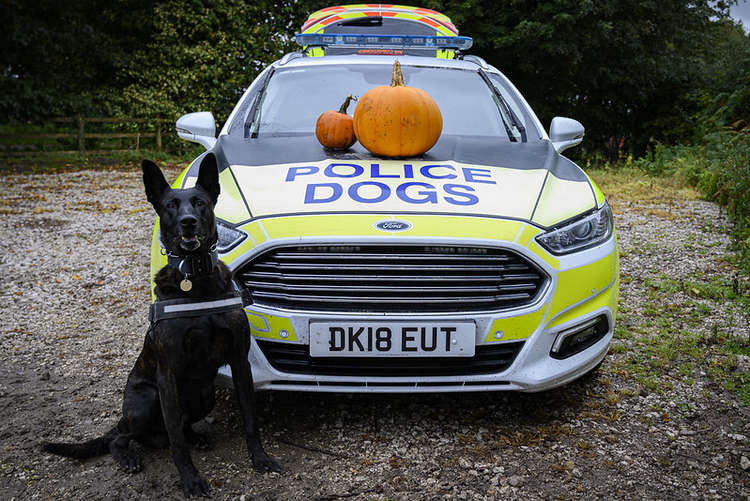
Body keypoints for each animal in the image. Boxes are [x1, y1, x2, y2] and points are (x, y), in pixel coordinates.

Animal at [44, 155, 284, 496]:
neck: (196, 279)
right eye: (170, 205)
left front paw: (260, 459)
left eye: (199, 203)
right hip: (146, 400)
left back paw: (196, 437)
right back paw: (127, 457)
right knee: (125, 438)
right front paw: (191, 480)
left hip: (205, 394)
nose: (188, 221)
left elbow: (250, 419)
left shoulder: (239, 361)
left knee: (177, 428)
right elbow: (176, 444)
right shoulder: (167, 373)